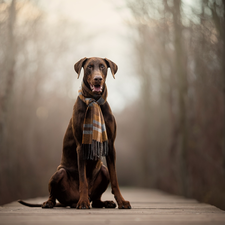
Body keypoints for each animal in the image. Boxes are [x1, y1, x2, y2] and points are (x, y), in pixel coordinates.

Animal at [18, 56, 131, 209]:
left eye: (102, 66)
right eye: (89, 67)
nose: (97, 79)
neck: (94, 100)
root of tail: (70, 201)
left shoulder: (111, 145)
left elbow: (115, 179)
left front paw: (122, 201)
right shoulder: (81, 145)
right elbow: (83, 179)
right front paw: (83, 202)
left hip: (103, 170)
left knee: (96, 199)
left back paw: (105, 202)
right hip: (59, 173)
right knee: (53, 193)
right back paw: (51, 202)